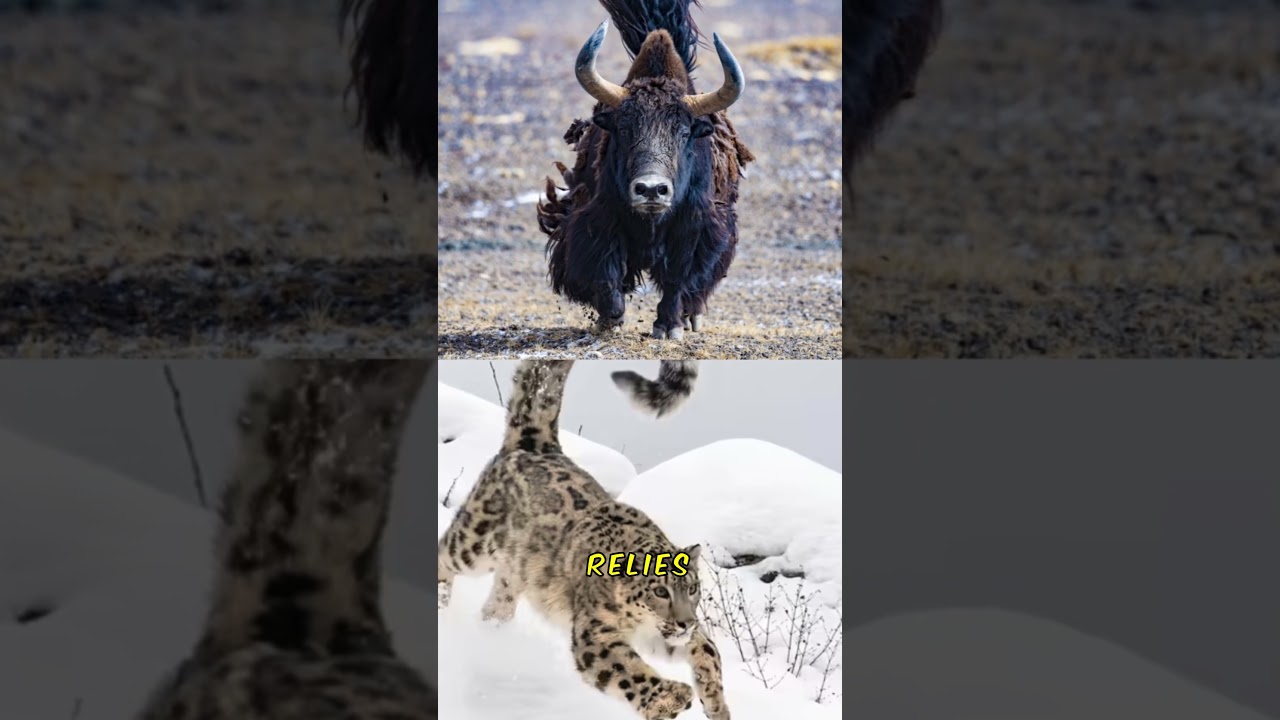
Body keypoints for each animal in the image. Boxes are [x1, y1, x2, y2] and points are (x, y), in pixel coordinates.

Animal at [438, 359, 730, 720]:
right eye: (660, 590)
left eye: (692, 588)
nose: (684, 622)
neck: (641, 626)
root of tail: (537, 445)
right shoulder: (596, 633)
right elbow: (626, 670)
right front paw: (668, 699)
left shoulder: (665, 635)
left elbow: (708, 650)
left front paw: (715, 703)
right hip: (475, 541)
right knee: (443, 552)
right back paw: (439, 602)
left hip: (511, 576)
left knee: (496, 606)